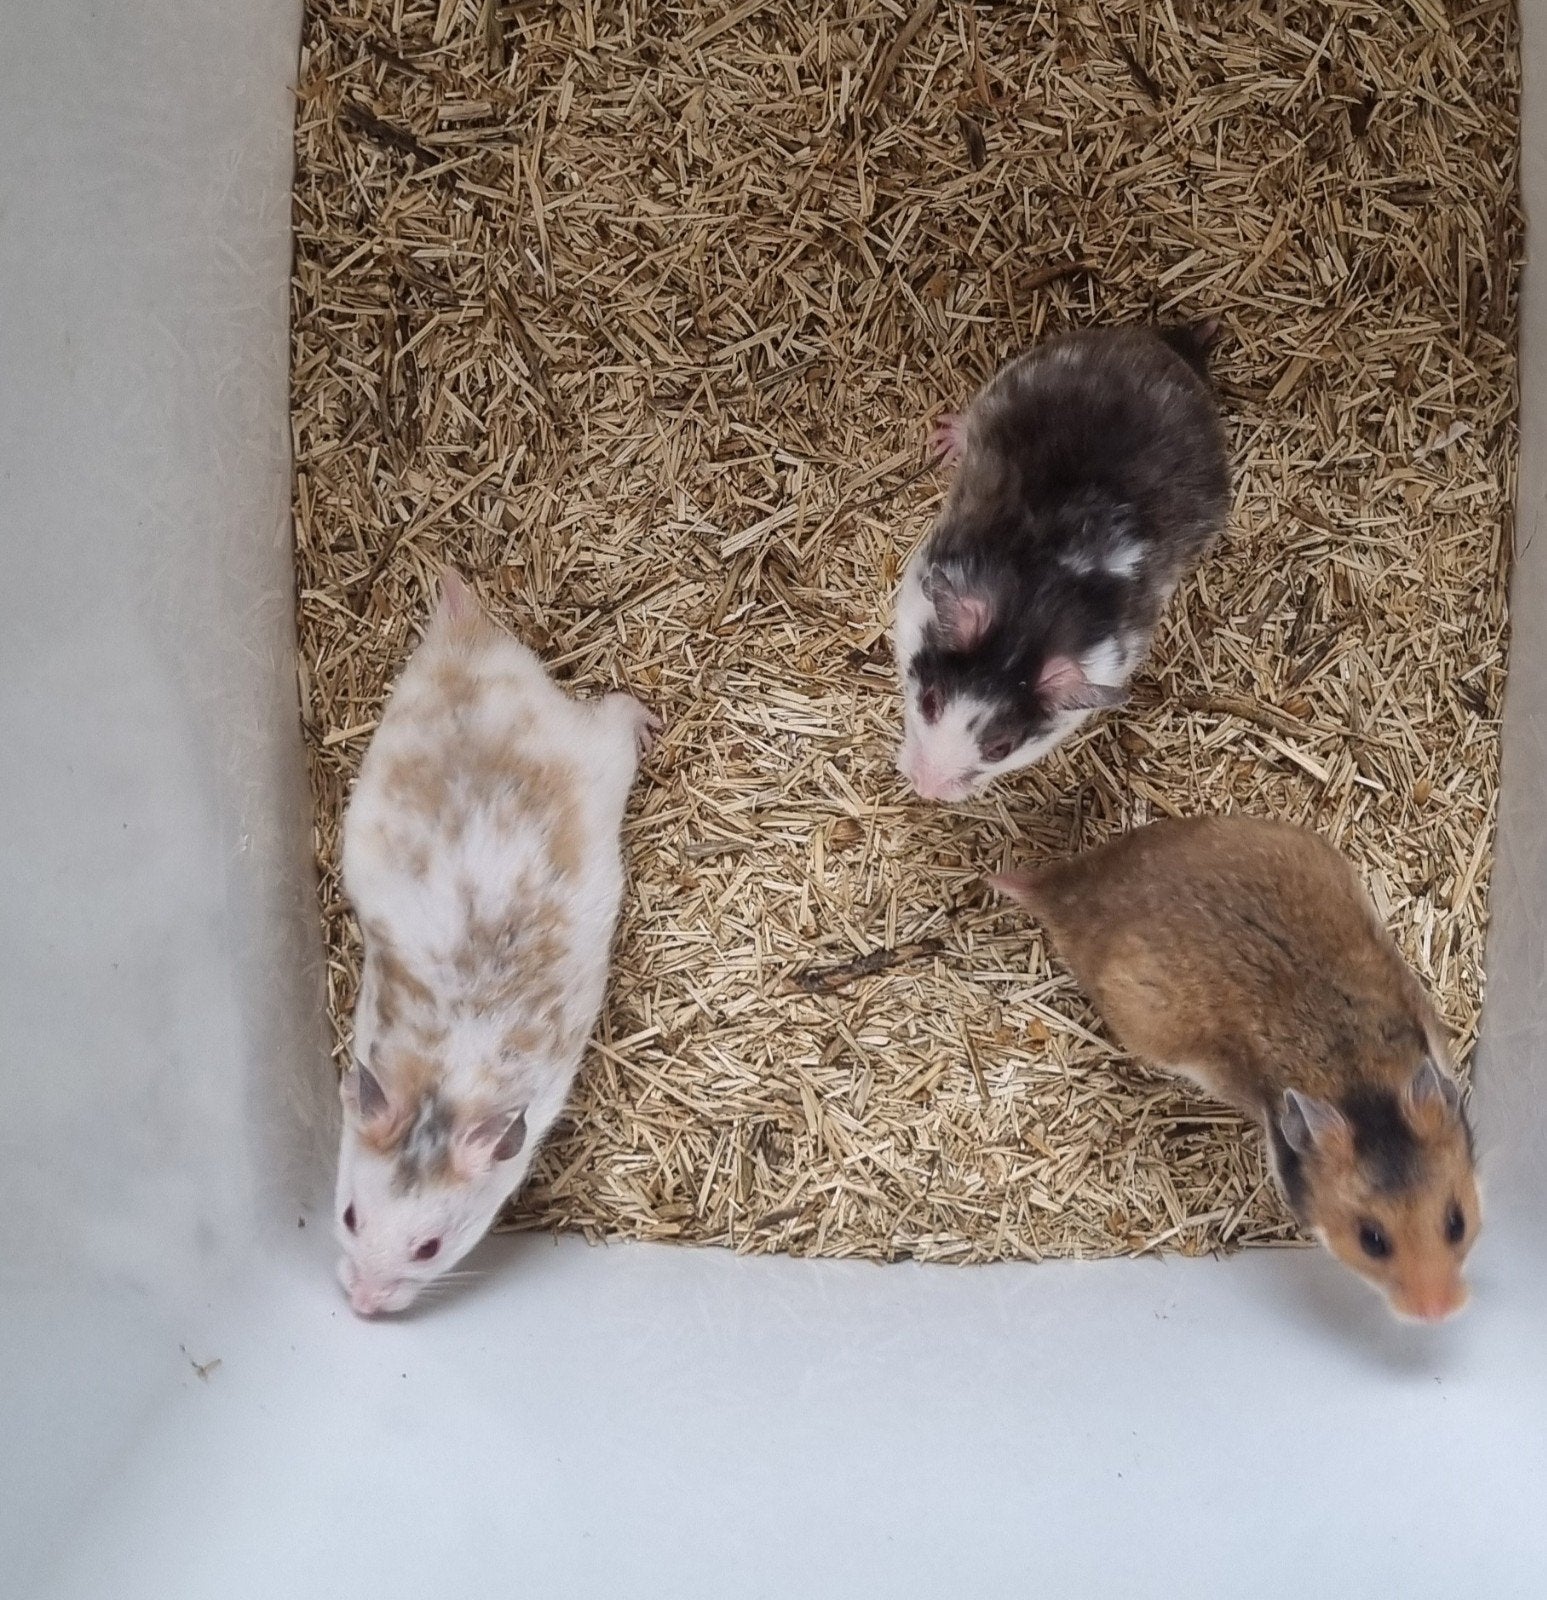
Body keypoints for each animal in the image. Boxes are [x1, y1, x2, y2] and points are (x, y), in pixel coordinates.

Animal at [333, 571, 657, 1316]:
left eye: (429, 1249)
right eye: (349, 1217)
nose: (361, 1308)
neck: (444, 1086)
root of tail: (466, 639)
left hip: (597, 749)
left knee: (618, 709)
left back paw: (651, 721)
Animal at [895, 323, 1230, 802]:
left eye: (1000, 748)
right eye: (929, 702)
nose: (924, 789)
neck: (1030, 617)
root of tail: (1169, 354)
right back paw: (945, 439)